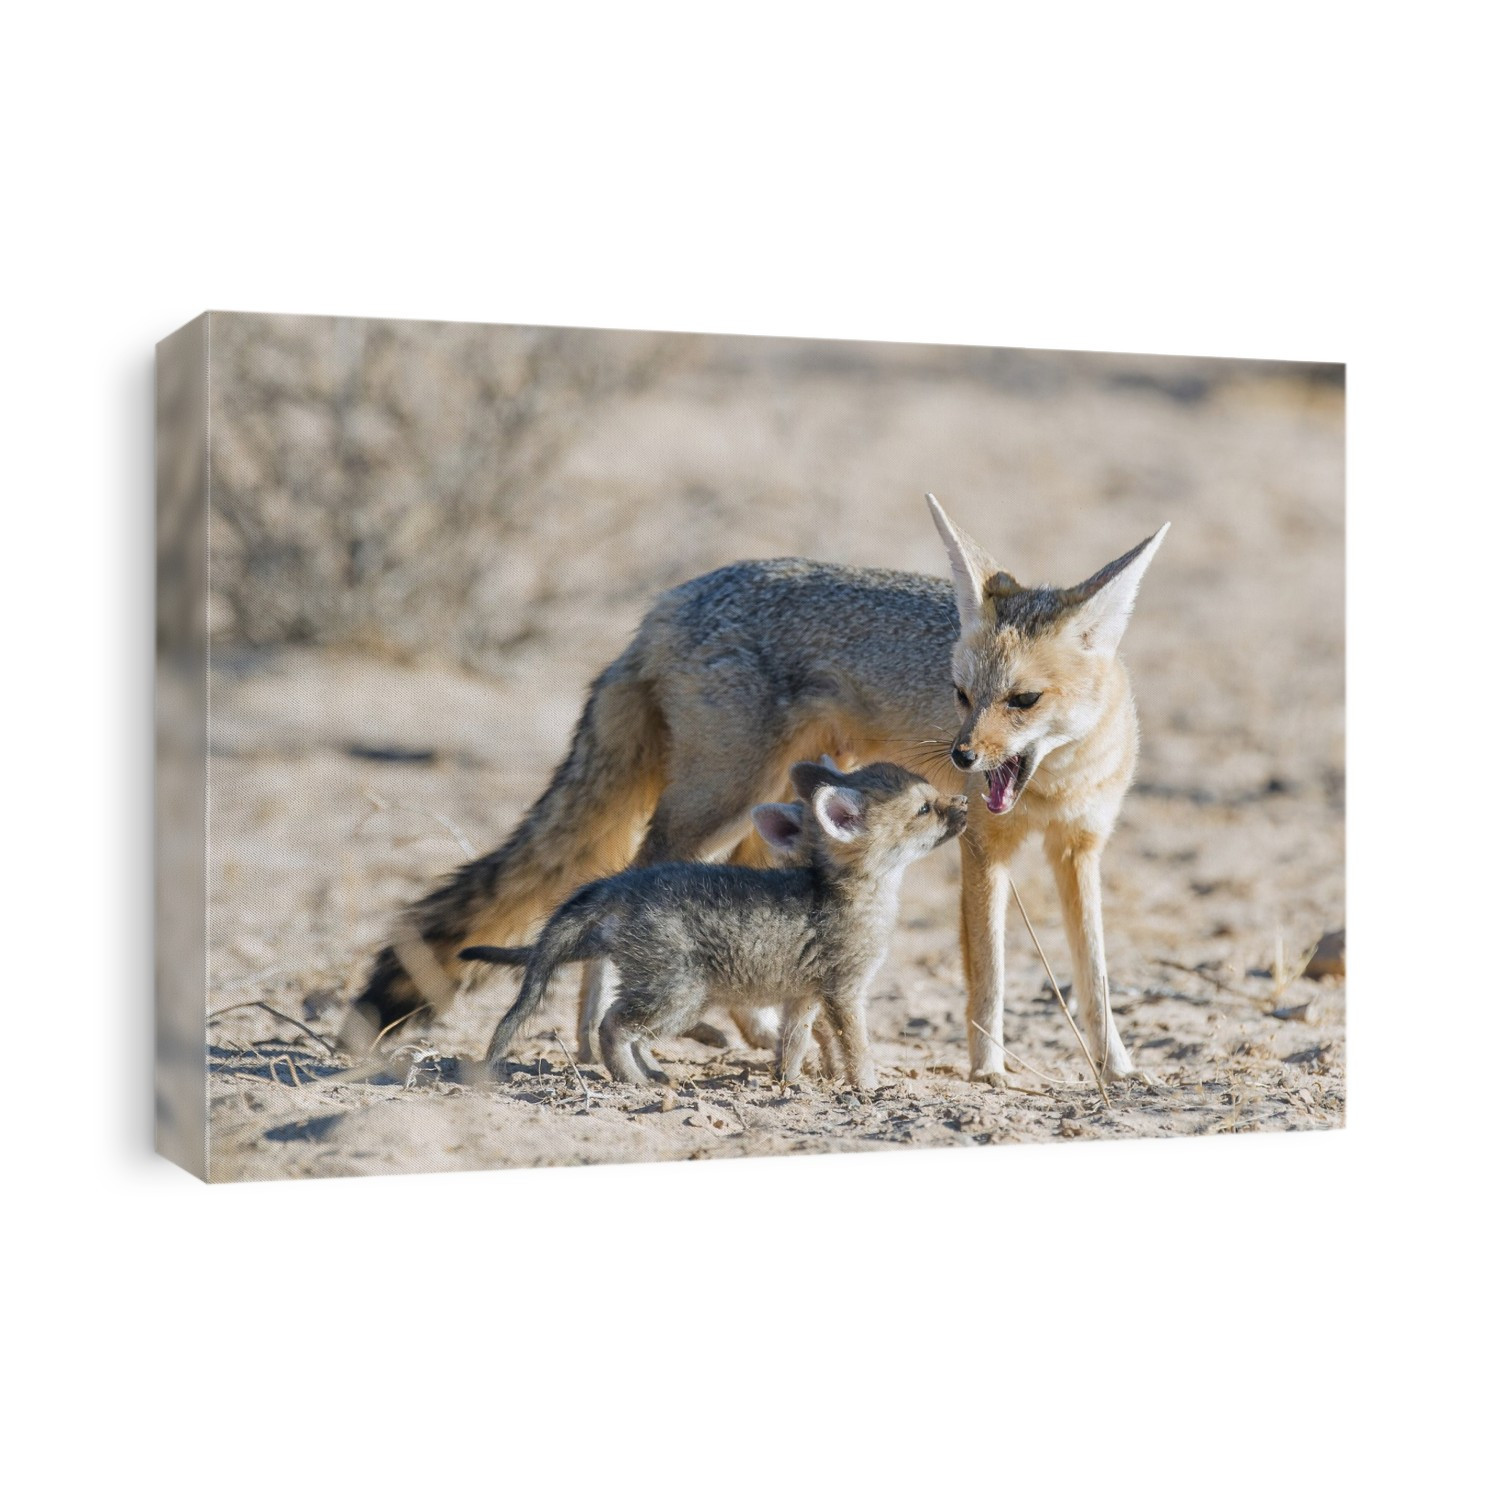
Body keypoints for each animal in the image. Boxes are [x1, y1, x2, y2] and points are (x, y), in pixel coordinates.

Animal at [460, 761, 966, 1088]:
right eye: (925, 809)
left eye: (935, 800)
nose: (963, 801)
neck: (845, 889)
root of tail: (623, 882)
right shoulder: (845, 991)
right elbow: (857, 1048)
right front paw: (870, 1089)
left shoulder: (804, 995)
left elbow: (794, 1043)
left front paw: (790, 1084)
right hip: (681, 995)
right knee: (611, 1025)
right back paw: (633, 1082)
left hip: (670, 995)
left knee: (623, 1026)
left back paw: (650, 1072)